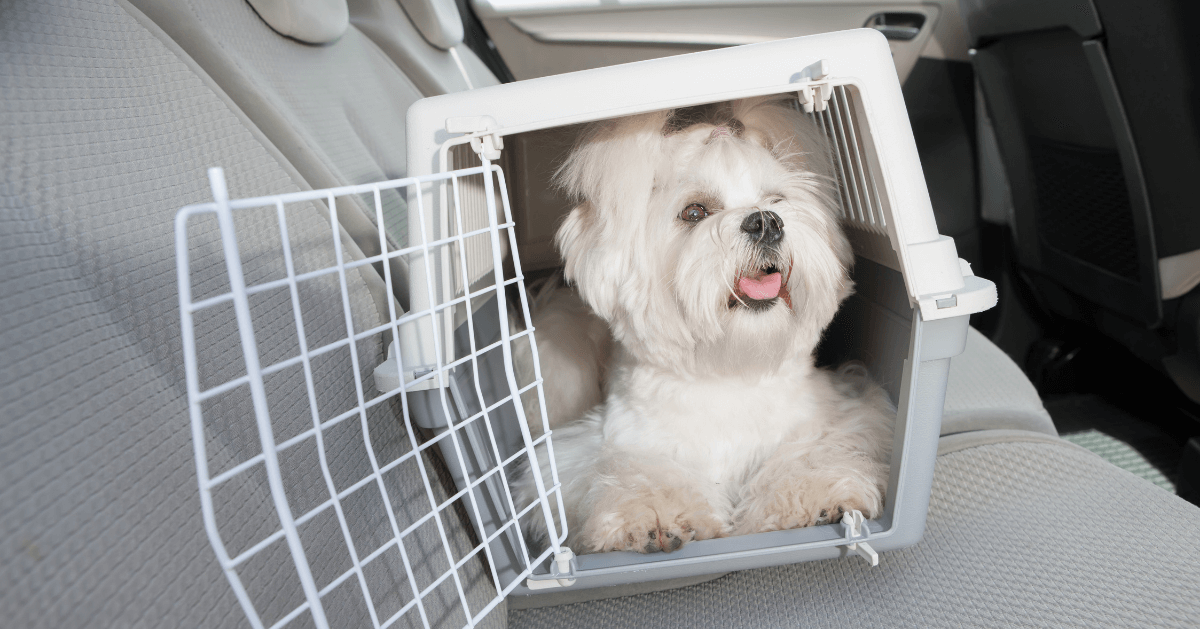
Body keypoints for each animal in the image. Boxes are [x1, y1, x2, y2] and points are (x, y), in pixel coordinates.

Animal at [520, 96, 897, 552]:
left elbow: (812, 452)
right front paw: (653, 514)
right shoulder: (608, 443)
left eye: (777, 200)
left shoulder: (837, 416)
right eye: (694, 211)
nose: (766, 221)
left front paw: (813, 494)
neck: (728, 372)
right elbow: (637, 471)